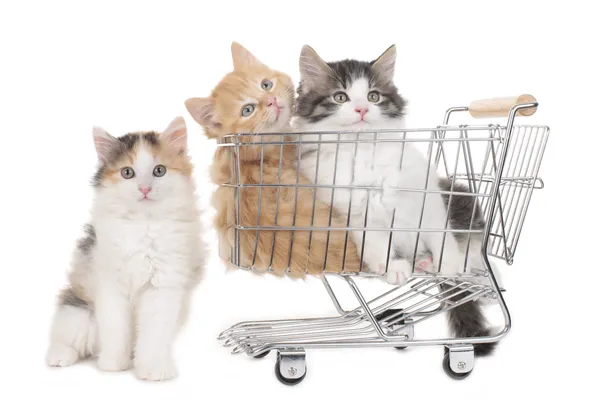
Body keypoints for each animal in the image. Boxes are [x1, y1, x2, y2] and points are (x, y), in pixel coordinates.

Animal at [45, 116, 206, 382]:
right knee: (68, 339)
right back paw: (60, 358)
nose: (144, 189)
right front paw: (114, 364)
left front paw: (153, 368)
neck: (143, 223)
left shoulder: (163, 286)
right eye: (127, 173)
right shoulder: (111, 283)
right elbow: (116, 326)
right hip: (78, 312)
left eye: (159, 170)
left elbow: (154, 333)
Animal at [292, 45, 494, 354]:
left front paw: (446, 265)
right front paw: (392, 268)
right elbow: (376, 243)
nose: (362, 109)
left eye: (373, 96)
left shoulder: (428, 198)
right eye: (340, 97)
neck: (365, 153)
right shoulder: (352, 212)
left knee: (477, 261)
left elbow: (441, 237)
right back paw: (421, 264)